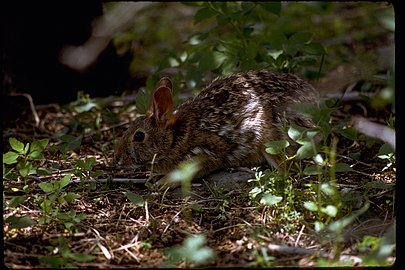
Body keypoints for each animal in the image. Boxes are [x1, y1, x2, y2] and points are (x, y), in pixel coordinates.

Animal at [112, 70, 318, 179]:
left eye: (139, 136)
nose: (117, 159)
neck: (174, 138)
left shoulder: (205, 153)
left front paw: (163, 183)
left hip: (269, 138)